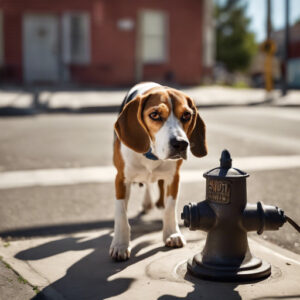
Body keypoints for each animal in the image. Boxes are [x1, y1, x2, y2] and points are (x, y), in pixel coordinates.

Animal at [110, 81, 206, 260]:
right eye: (155, 115)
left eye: (186, 115)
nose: (181, 144)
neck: (152, 155)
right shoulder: (121, 178)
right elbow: (121, 213)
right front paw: (120, 244)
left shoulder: (174, 177)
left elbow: (170, 208)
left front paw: (172, 234)